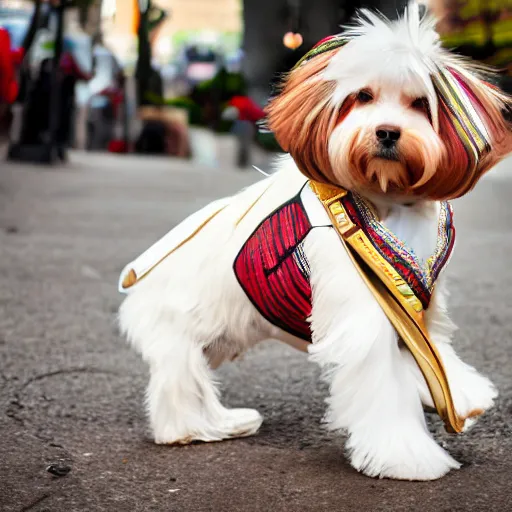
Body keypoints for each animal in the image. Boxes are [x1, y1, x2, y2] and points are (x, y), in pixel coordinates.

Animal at [117, 5, 512, 480]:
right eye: (362, 96)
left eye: (420, 103)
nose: (387, 132)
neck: (386, 198)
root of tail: (136, 278)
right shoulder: (365, 314)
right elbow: (383, 384)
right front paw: (404, 456)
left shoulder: (417, 306)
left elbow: (429, 353)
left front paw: (461, 393)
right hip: (181, 329)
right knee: (178, 382)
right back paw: (192, 428)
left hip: (217, 336)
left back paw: (224, 421)